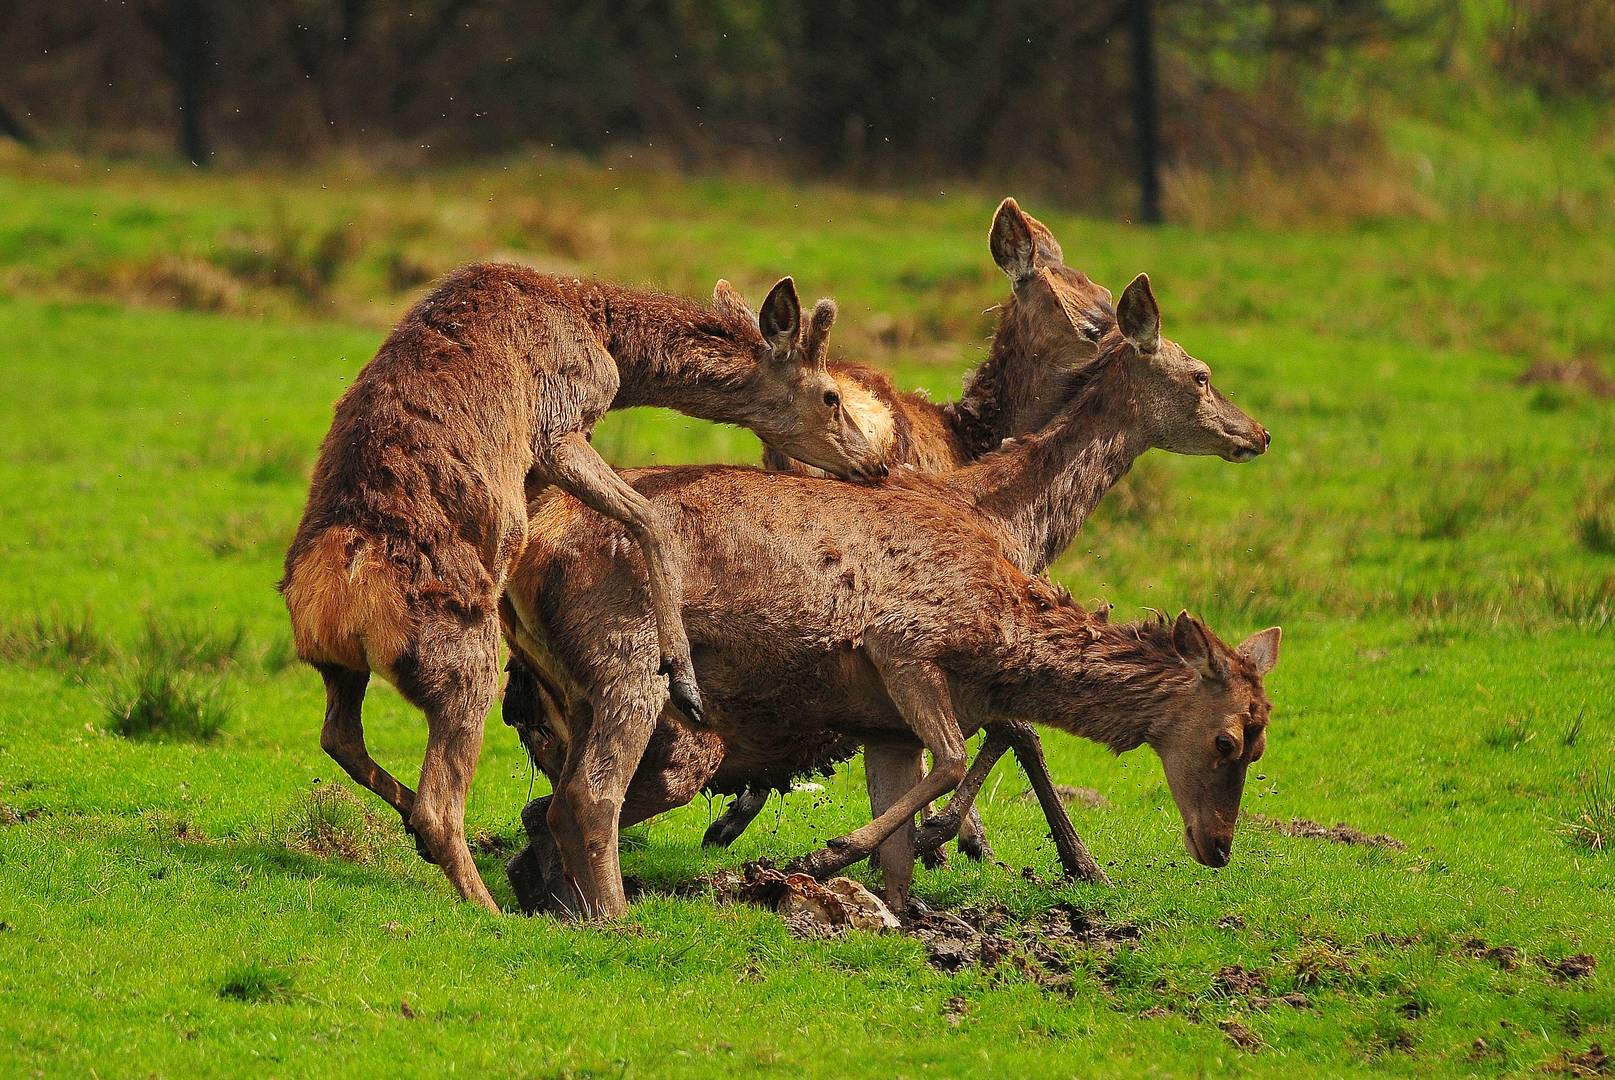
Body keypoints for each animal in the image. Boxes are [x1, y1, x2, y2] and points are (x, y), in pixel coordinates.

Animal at [277, 263, 885, 910]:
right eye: (830, 395)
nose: (874, 465)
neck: (610, 344)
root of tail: (336, 601)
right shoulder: (563, 418)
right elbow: (645, 515)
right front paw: (683, 676)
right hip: (460, 657)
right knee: (440, 803)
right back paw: (491, 904)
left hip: (339, 665)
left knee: (341, 736)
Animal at [500, 271, 1272, 916]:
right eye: (1201, 375)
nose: (1257, 432)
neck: (1010, 518)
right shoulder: (912, 646)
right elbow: (1007, 735)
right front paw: (1015, 852)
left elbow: (988, 742)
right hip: (645, 684)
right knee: (585, 797)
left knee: (543, 811)